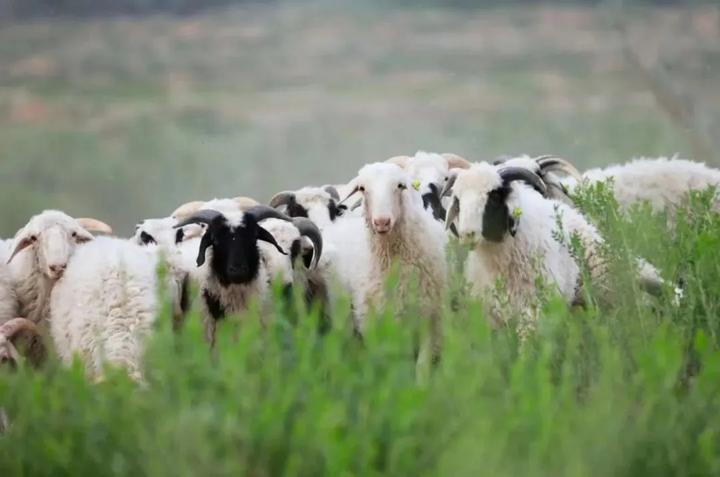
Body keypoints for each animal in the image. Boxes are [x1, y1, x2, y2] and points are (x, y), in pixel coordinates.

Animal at [343, 162, 448, 360]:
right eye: (362, 188)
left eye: (400, 186)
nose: (382, 222)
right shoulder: (375, 321)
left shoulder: (428, 316)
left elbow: (422, 363)